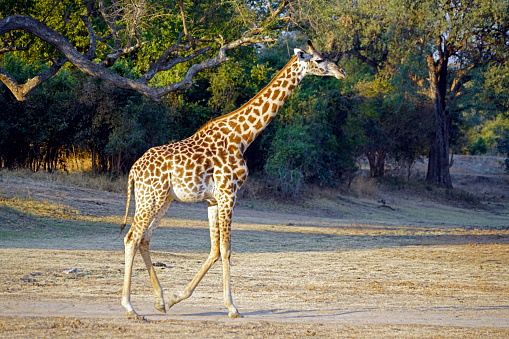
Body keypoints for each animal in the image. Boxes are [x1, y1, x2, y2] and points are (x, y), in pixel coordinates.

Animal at [119, 39, 346, 318]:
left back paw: (160, 301)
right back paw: (130, 307)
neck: (242, 137)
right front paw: (232, 307)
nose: (340, 72)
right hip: (150, 197)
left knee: (144, 239)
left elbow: (215, 249)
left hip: (162, 200)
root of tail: (133, 170)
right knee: (132, 238)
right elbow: (227, 249)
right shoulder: (229, 193)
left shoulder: (213, 200)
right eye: (318, 60)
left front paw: (175, 298)